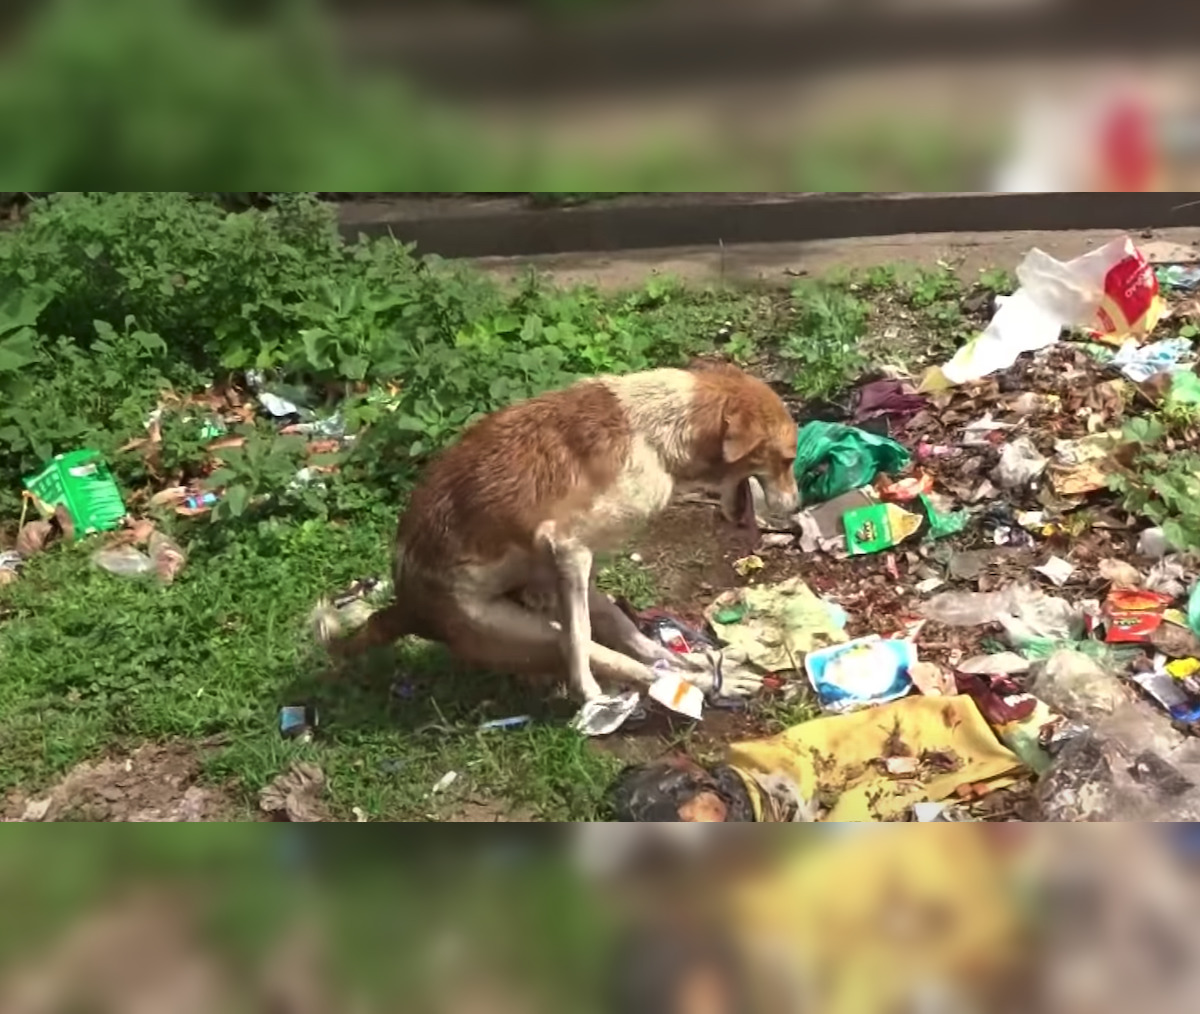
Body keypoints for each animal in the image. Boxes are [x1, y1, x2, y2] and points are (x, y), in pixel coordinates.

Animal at [314, 364, 796, 705]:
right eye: (788, 459)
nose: (795, 509)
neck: (654, 430)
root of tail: (404, 608)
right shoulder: (567, 548)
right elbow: (579, 642)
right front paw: (586, 691)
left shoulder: (572, 567)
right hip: (527, 631)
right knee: (620, 660)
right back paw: (711, 683)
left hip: (575, 602)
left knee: (644, 648)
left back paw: (705, 666)